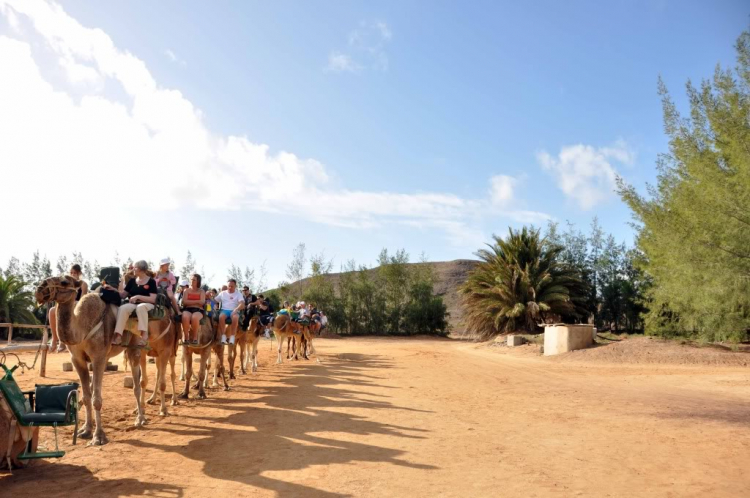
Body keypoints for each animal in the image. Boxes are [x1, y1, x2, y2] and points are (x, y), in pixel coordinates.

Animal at [35, 276, 147, 448]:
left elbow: (96, 399)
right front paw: (85, 430)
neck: (82, 326)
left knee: (136, 383)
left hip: (134, 345)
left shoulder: (98, 356)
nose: (40, 289)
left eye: (64, 282)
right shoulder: (78, 360)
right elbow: (88, 397)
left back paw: (140, 419)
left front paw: (99, 436)